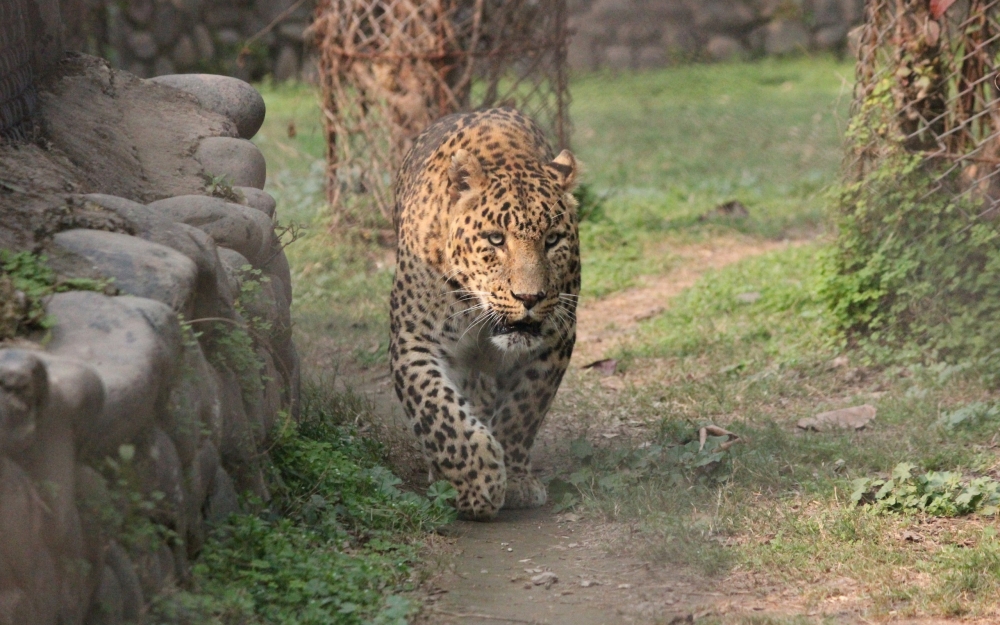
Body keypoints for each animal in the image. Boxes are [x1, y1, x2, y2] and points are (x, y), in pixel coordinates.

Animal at [388, 105, 580, 520]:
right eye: (495, 239)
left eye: (552, 239)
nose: (530, 296)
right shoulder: (414, 340)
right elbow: (439, 412)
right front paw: (478, 483)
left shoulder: (556, 338)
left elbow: (523, 410)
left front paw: (516, 478)